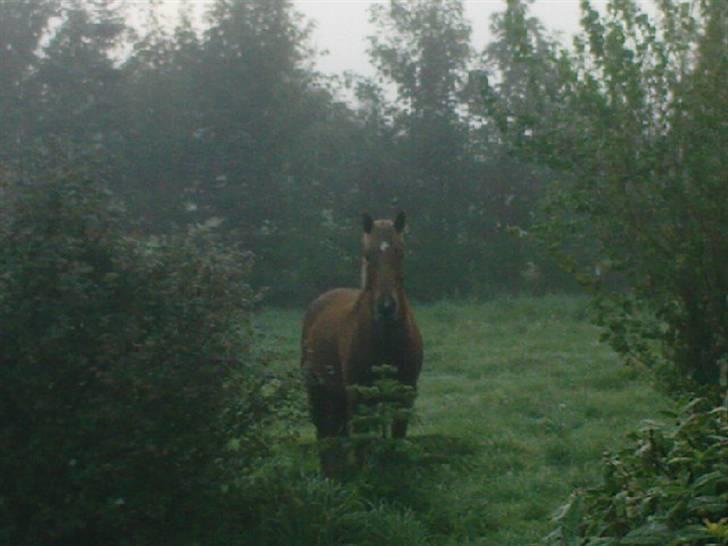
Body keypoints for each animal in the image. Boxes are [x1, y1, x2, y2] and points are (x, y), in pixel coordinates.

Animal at [300, 211, 423, 476]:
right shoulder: (357, 393)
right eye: (367, 255)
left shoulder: (406, 391)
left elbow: (397, 436)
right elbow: (361, 443)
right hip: (317, 389)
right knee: (324, 433)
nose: (386, 307)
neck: (386, 341)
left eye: (400, 252)